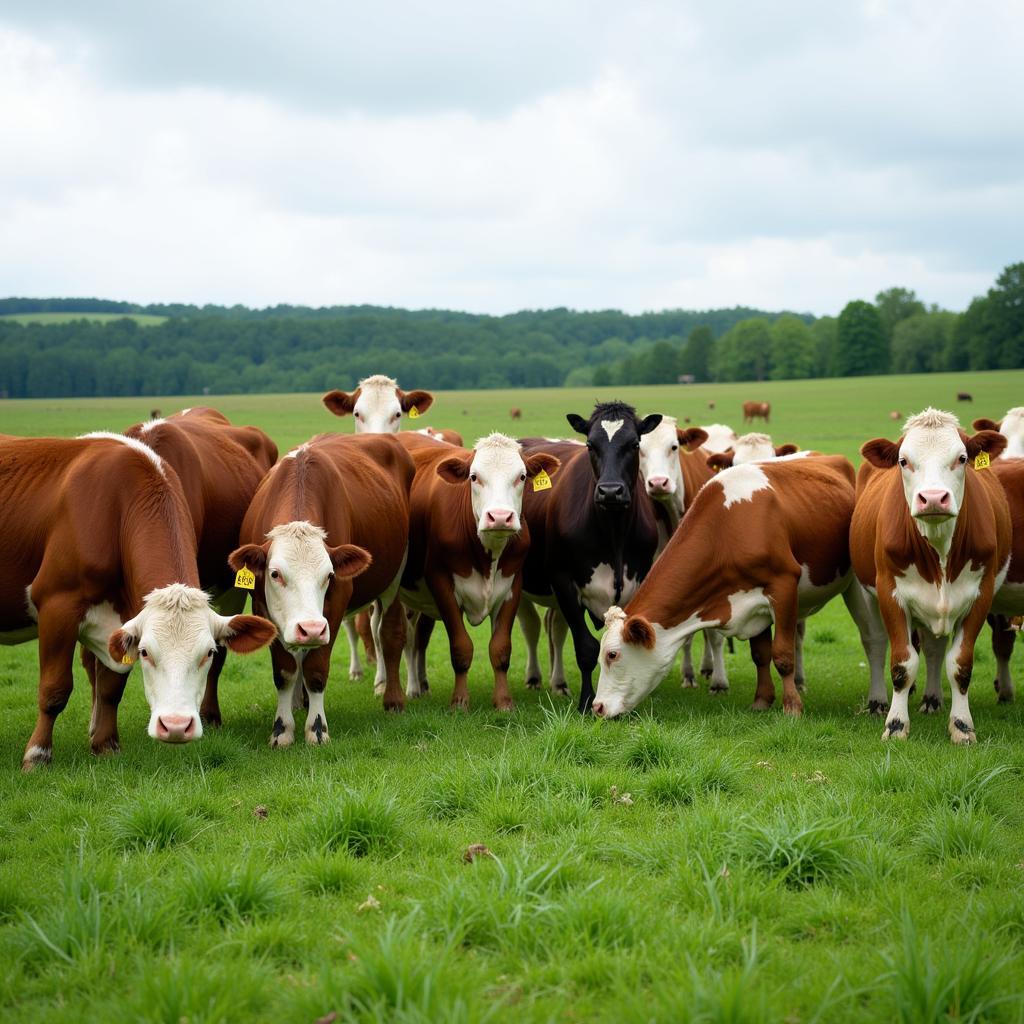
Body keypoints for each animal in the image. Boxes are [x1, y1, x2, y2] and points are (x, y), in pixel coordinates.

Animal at [0, 434, 276, 770]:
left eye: (209, 652)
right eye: (145, 652)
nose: (175, 726)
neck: (116, 508)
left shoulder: (121, 623)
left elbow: (110, 687)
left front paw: (106, 745)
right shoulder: (57, 605)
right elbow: (54, 689)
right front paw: (37, 755)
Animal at [228, 432, 411, 745]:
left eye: (329, 575)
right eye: (275, 574)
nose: (311, 629)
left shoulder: (335, 604)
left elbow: (315, 669)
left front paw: (316, 729)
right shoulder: (262, 605)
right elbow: (285, 670)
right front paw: (282, 729)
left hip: (394, 579)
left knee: (388, 632)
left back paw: (392, 697)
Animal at [399, 434, 561, 712]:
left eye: (522, 476)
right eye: (474, 477)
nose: (500, 517)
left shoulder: (512, 587)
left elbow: (501, 649)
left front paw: (504, 702)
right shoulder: (442, 585)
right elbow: (461, 647)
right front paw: (459, 702)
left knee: (418, 637)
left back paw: (421, 685)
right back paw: (396, 687)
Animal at [589, 456, 876, 720]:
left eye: (612, 655)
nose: (597, 707)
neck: (727, 530)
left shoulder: (783, 584)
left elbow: (782, 655)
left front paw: (792, 707)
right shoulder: (754, 606)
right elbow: (761, 654)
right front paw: (762, 700)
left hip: (855, 585)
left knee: (871, 638)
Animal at [847, 407, 1007, 745]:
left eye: (962, 458)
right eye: (903, 461)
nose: (933, 498)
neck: (939, 548)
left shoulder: (981, 595)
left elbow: (959, 664)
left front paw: (962, 726)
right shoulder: (889, 593)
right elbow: (902, 664)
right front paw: (896, 724)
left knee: (934, 650)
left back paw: (932, 699)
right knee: (876, 643)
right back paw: (878, 702)